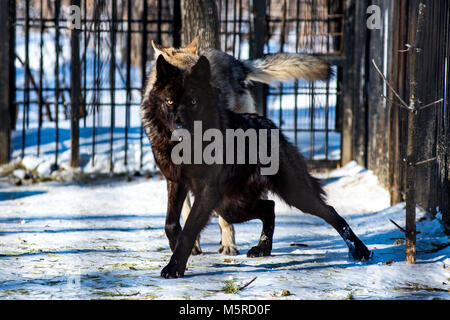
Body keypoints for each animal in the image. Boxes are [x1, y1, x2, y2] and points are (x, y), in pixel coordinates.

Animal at [142, 55, 372, 278]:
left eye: (193, 101)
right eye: (169, 101)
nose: (180, 127)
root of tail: (272, 125)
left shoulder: (206, 191)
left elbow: (189, 229)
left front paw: (174, 268)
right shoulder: (176, 182)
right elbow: (171, 224)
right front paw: (176, 249)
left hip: (291, 194)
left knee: (329, 211)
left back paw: (359, 250)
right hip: (230, 207)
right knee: (269, 207)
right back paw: (263, 248)